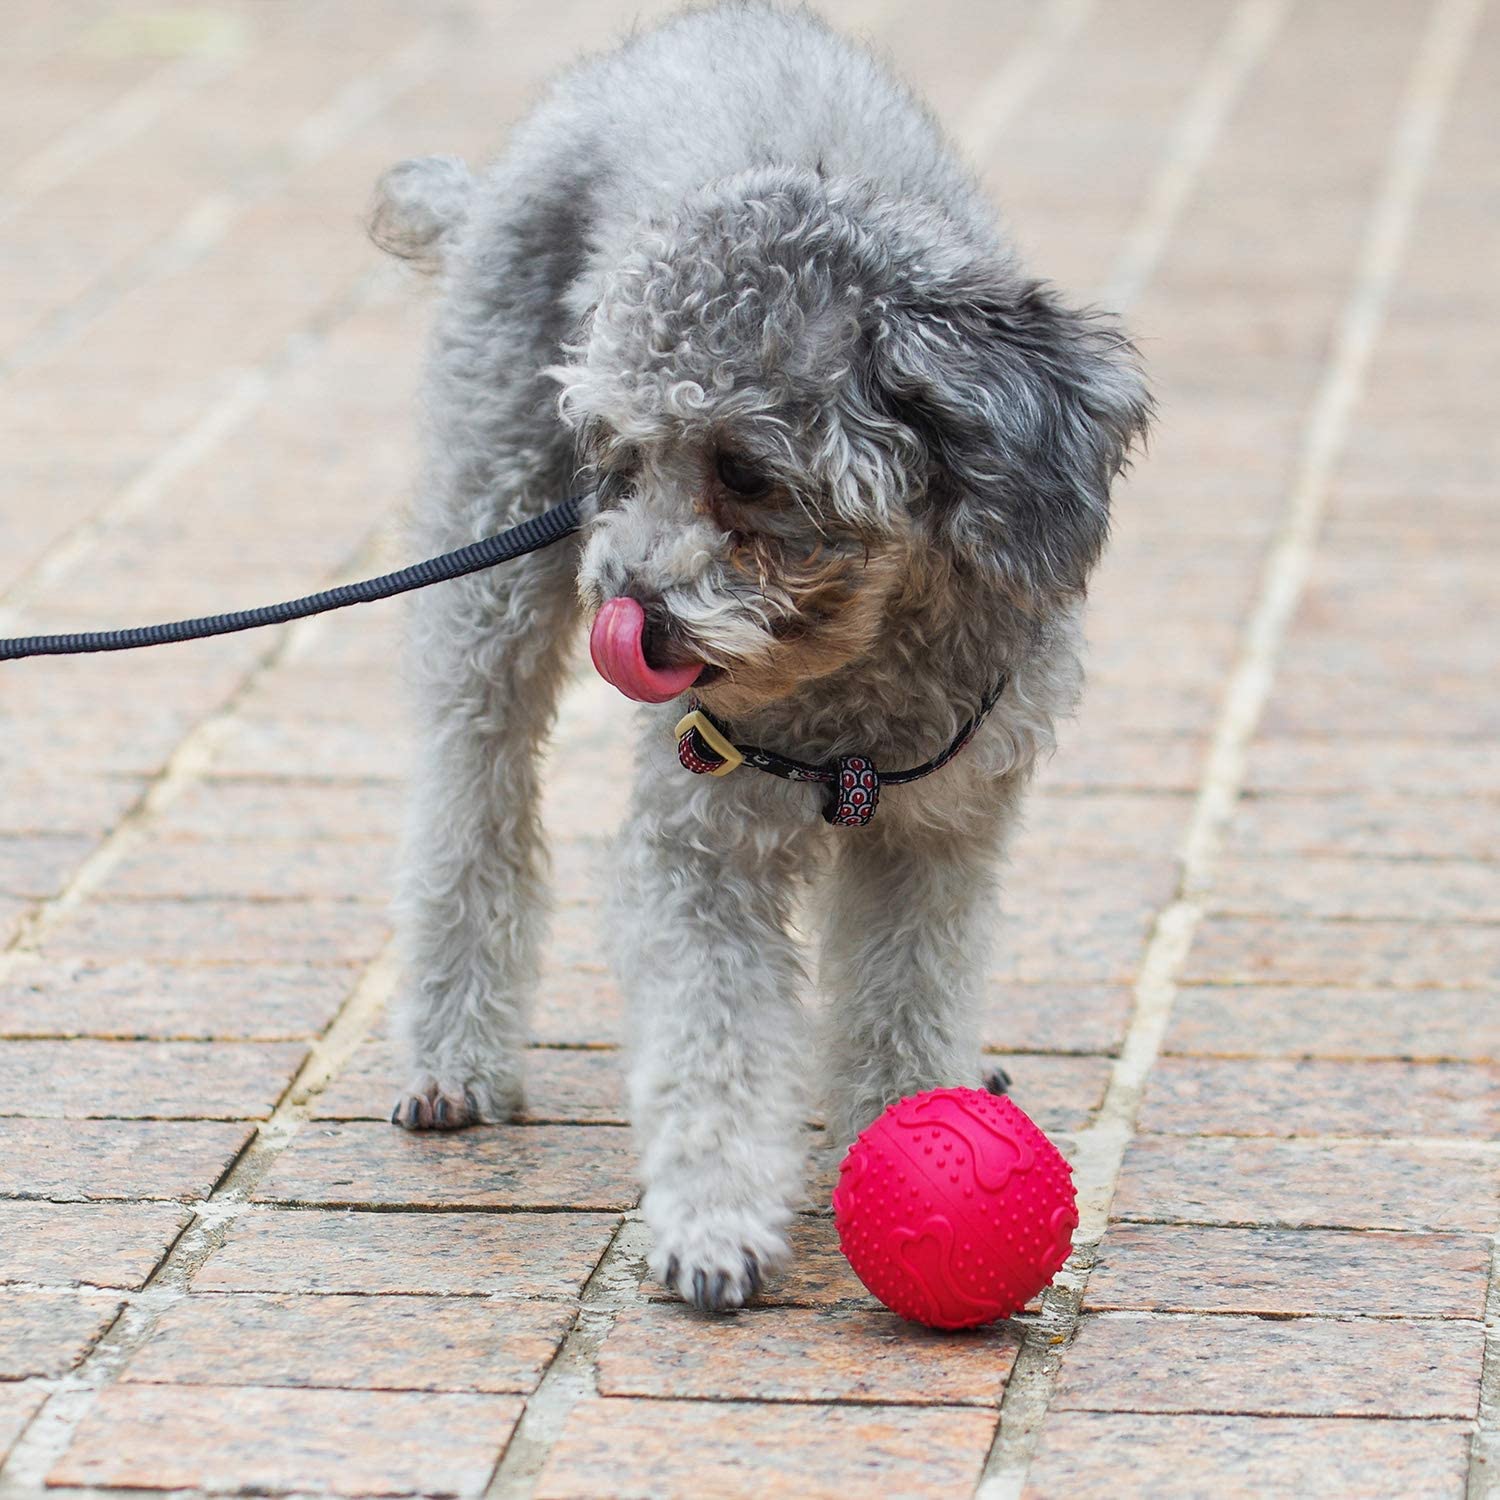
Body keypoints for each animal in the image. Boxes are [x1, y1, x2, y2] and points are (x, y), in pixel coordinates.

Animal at [372, 2, 1146, 1314]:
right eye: (619, 462)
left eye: (745, 469)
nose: (626, 615)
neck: (857, 675)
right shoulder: (699, 847)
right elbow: (713, 1036)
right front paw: (714, 1227)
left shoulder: (941, 837)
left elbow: (905, 997)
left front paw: (906, 1122)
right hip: (489, 584)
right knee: (470, 809)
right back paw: (450, 1056)